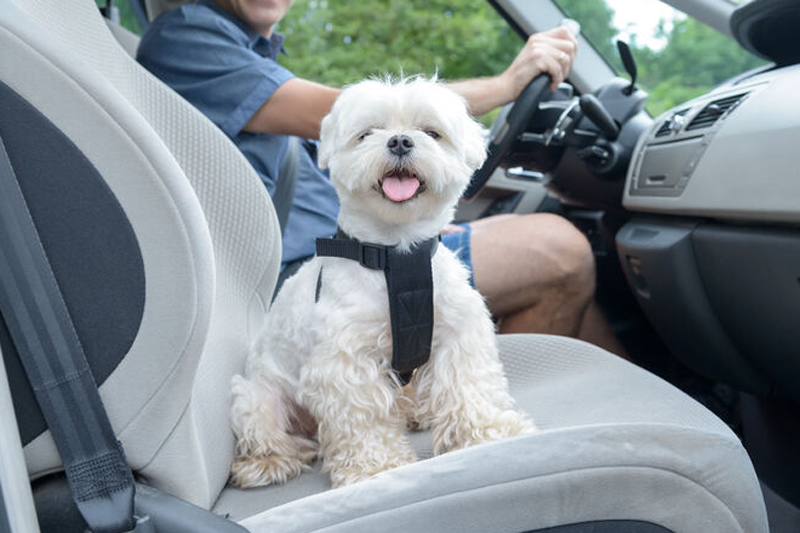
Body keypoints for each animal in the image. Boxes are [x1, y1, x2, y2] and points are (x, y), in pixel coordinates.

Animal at [230, 77, 532, 488]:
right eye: (366, 134)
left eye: (431, 132)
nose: (400, 141)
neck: (396, 254)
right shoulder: (345, 361)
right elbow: (363, 419)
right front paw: (376, 466)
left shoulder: (458, 335)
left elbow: (468, 388)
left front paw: (489, 434)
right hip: (256, 398)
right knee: (266, 430)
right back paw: (270, 460)